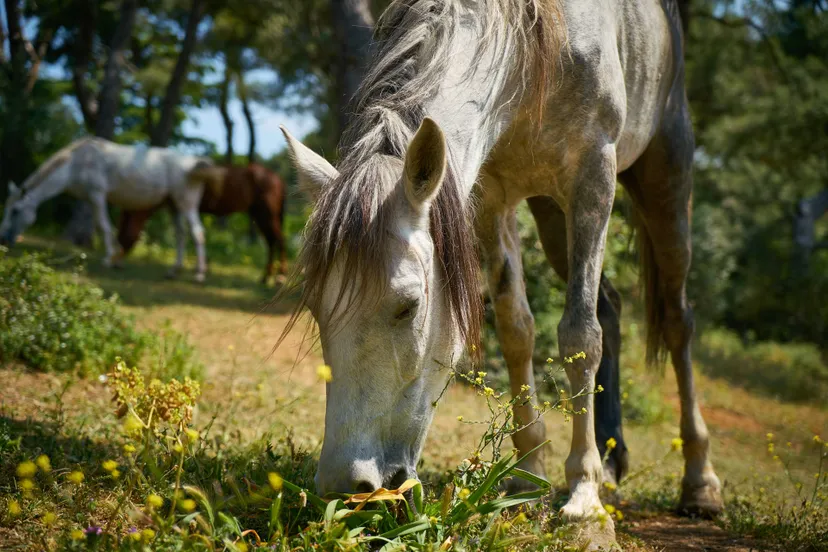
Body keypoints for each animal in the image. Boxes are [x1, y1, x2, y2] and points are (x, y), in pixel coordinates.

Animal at [0, 138, 212, 281]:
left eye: (15, 210)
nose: (3, 239)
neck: (74, 164)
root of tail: (192, 164)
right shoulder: (90, 199)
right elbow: (100, 225)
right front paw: (117, 256)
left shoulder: (97, 194)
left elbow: (104, 225)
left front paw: (109, 259)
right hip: (173, 205)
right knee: (181, 235)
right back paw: (174, 270)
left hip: (186, 203)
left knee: (198, 233)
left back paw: (199, 274)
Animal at [116, 163, 288, 284]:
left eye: (122, 234)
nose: (117, 262)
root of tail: (277, 177)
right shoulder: (176, 209)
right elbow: (180, 235)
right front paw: (176, 270)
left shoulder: (184, 207)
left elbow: (191, 234)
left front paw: (199, 272)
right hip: (258, 214)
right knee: (271, 242)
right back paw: (265, 277)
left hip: (267, 214)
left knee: (279, 240)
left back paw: (280, 277)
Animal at [279, 0, 721, 547]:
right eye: (317, 309)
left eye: (409, 306)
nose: (346, 485)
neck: (531, 49)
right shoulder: (490, 195)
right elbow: (516, 330)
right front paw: (528, 473)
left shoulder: (592, 177)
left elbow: (579, 335)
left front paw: (584, 500)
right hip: (553, 217)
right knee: (611, 307)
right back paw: (613, 459)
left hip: (666, 180)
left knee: (677, 323)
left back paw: (699, 482)